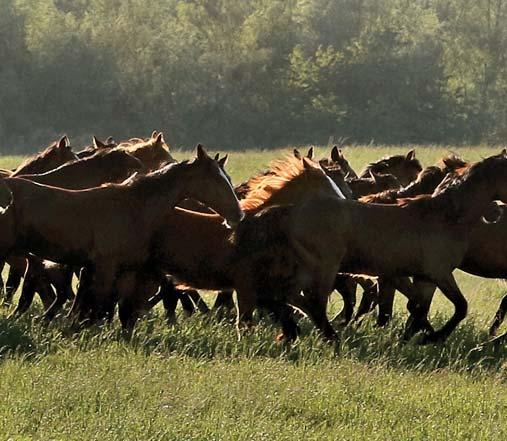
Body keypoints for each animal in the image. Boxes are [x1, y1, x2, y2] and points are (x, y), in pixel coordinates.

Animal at [0, 146, 242, 322]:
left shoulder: (123, 270)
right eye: (216, 180)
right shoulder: (104, 267)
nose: (237, 214)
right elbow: (97, 307)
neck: (133, 205)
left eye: (228, 178)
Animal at [234, 153, 507, 342]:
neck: (446, 215)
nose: (496, 215)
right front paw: (432, 338)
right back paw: (325, 337)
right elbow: (458, 307)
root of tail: (291, 211)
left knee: (290, 296)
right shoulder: (438, 273)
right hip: (323, 269)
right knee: (310, 301)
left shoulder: (424, 277)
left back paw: (295, 332)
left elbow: (417, 308)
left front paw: (412, 339)